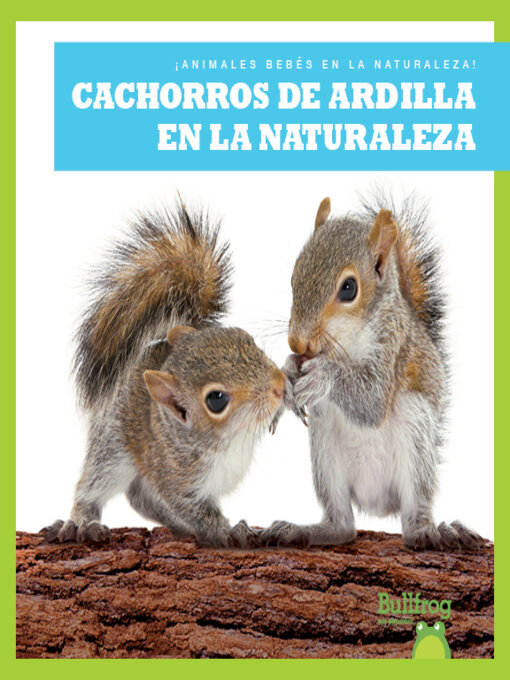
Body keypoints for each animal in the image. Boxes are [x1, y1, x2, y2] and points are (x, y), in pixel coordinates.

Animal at [43, 198, 288, 548]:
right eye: (216, 400)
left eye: (245, 338)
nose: (279, 386)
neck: (229, 440)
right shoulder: (176, 478)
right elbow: (196, 510)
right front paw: (227, 532)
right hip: (113, 447)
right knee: (97, 486)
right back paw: (81, 522)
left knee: (142, 498)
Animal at [261, 194, 483, 550]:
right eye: (295, 276)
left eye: (349, 288)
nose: (297, 341)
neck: (348, 340)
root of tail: (377, 501)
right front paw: (288, 370)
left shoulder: (393, 348)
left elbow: (372, 402)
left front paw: (323, 375)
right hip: (325, 448)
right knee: (343, 525)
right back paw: (306, 530)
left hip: (415, 430)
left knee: (412, 517)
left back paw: (429, 532)